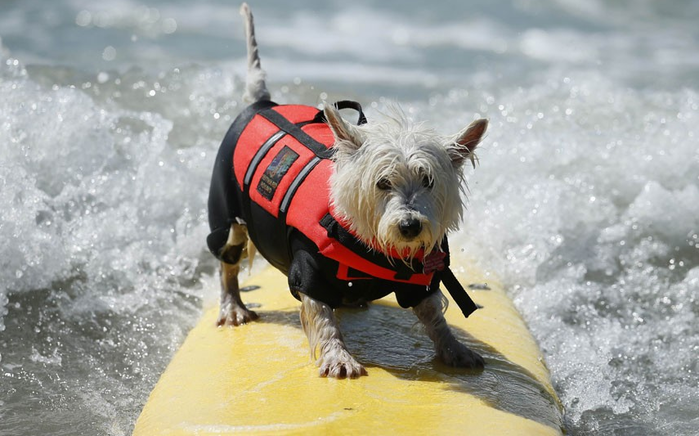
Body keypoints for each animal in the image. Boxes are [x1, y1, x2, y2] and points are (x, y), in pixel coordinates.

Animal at [208, 4, 490, 378]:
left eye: (428, 180)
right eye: (382, 182)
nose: (410, 226)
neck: (374, 248)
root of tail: (262, 104)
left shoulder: (422, 277)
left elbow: (433, 315)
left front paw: (454, 349)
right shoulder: (309, 270)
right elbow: (322, 317)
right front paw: (338, 356)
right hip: (226, 210)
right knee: (227, 260)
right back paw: (233, 307)